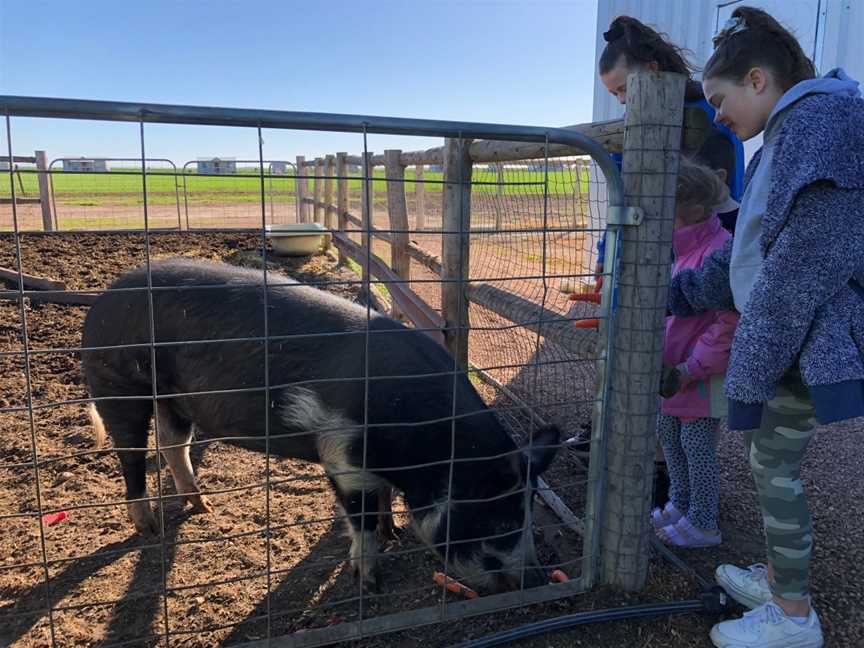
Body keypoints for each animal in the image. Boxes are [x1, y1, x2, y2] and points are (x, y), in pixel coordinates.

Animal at [82, 258, 560, 592]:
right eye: (499, 520)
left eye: (528, 511)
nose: (536, 579)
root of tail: (101, 300)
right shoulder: (342, 454)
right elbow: (360, 516)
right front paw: (369, 581)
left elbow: (383, 501)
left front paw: (393, 531)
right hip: (117, 384)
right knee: (132, 457)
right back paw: (149, 528)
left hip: (174, 399)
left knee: (172, 444)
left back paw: (203, 508)